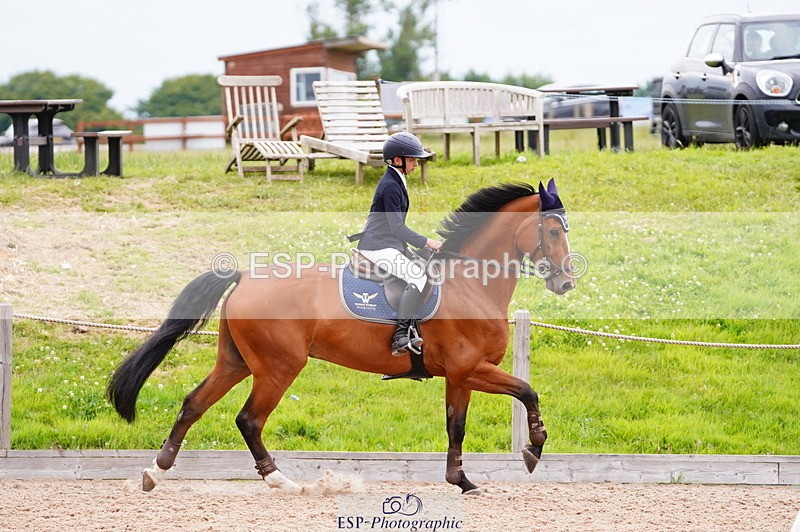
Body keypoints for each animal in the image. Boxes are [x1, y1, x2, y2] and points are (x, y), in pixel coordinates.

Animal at [107, 178, 576, 495]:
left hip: (236, 361)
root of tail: (245, 277)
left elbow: (455, 426)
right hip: (279, 367)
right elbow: (527, 391)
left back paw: (154, 471)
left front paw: (461, 480)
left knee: (194, 404)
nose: (567, 283)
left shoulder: (460, 376)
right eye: (553, 231)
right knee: (249, 419)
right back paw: (281, 481)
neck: (472, 283)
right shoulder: (471, 368)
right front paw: (533, 450)